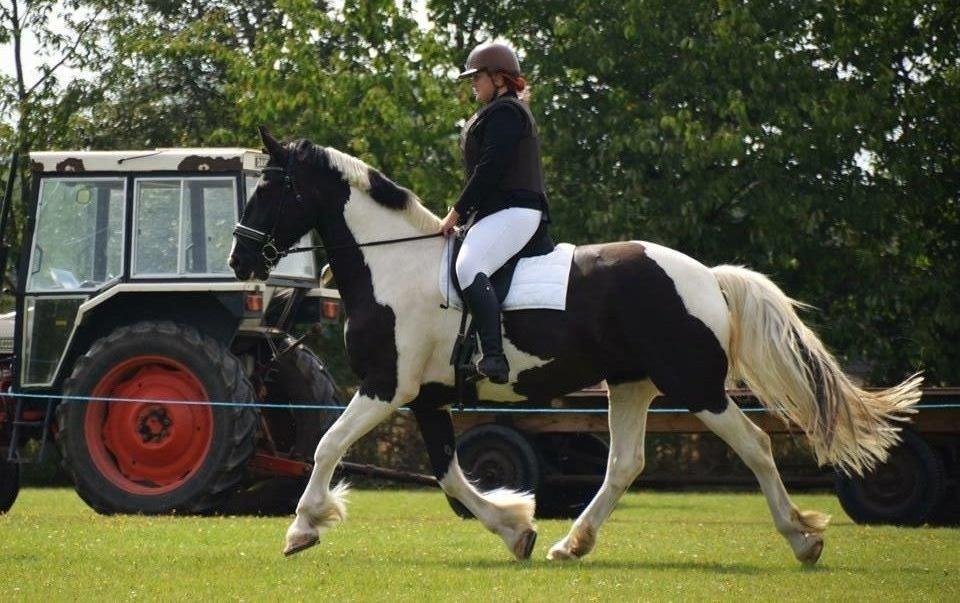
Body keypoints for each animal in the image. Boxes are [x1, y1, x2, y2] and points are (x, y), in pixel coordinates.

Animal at [231, 129, 924, 568]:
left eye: (269, 189)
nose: (240, 261)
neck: (394, 266)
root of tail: (707, 275)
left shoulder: (384, 387)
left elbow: (327, 446)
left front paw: (302, 527)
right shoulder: (425, 396)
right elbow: (449, 475)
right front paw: (515, 529)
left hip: (696, 385)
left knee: (754, 446)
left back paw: (802, 541)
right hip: (631, 385)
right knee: (624, 464)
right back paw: (573, 544)